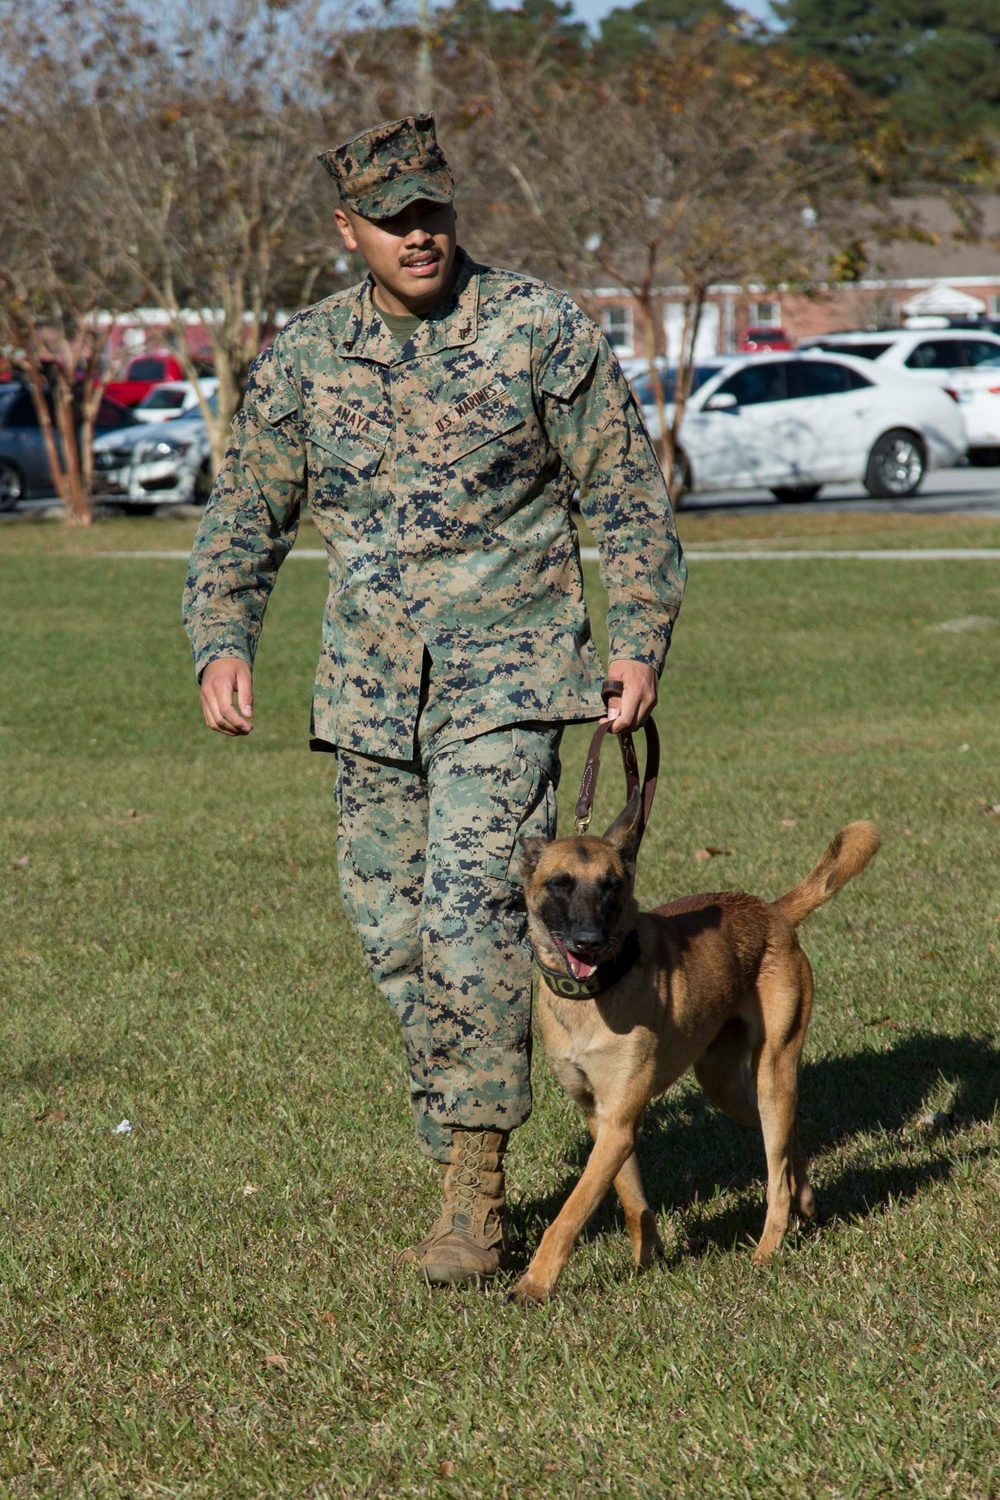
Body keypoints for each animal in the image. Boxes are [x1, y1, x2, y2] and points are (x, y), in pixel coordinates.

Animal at [512, 798, 881, 1302]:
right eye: (560, 884)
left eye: (613, 886)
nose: (590, 941)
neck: (594, 996)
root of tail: (772, 912)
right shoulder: (602, 1117)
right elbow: (632, 1200)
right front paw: (648, 1259)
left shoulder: (620, 1121)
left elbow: (570, 1212)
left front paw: (534, 1283)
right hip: (727, 1088)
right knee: (788, 1143)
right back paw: (805, 1202)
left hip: (773, 1073)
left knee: (776, 1173)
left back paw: (768, 1247)